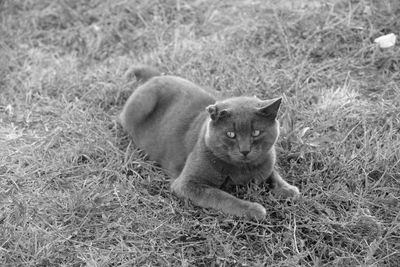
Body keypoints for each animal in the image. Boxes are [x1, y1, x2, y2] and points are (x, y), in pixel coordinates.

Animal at [119, 66, 300, 220]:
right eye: (231, 134)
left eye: (256, 132)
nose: (245, 150)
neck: (242, 170)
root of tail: (155, 77)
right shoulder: (186, 184)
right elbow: (222, 196)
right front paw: (254, 209)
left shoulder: (267, 159)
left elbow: (272, 173)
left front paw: (289, 189)